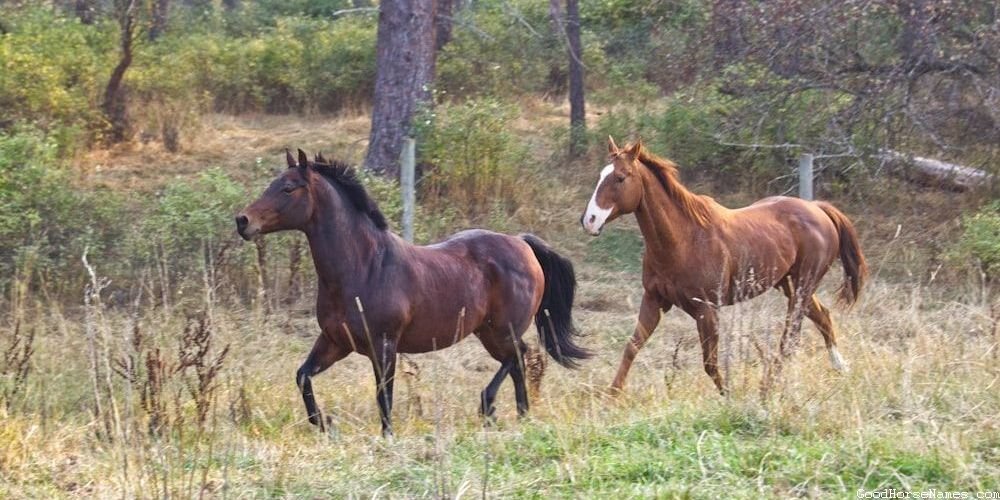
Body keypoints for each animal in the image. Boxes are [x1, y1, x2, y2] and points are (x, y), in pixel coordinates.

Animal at [237, 150, 588, 436]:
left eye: (288, 188)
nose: (242, 220)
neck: (364, 266)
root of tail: (522, 243)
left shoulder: (384, 345)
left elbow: (384, 396)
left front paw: (387, 436)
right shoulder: (335, 341)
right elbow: (303, 377)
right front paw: (325, 423)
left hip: (502, 330)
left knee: (519, 356)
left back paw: (489, 406)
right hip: (488, 332)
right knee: (517, 364)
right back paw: (520, 416)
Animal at [580, 137, 868, 394]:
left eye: (621, 177)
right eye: (601, 175)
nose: (589, 220)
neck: (684, 239)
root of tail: (817, 208)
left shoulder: (707, 309)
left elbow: (710, 362)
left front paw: (731, 395)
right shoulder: (654, 300)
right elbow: (632, 346)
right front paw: (612, 395)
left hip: (802, 286)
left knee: (790, 338)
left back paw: (768, 385)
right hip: (789, 285)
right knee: (822, 316)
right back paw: (841, 368)